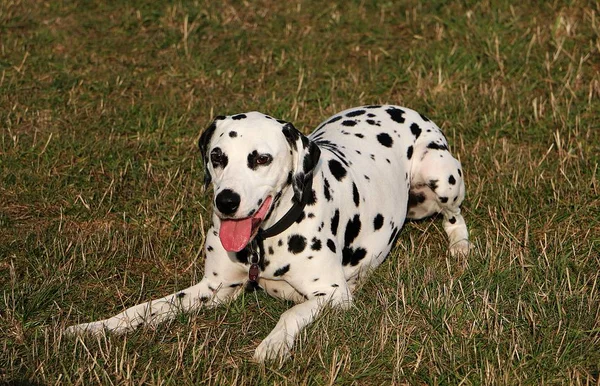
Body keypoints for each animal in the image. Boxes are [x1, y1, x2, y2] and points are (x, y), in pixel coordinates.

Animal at [64, 105, 468, 362]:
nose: (226, 201)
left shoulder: (333, 295)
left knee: (455, 216)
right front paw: (95, 327)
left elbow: (290, 314)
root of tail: (406, 109)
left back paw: (461, 248)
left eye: (261, 158)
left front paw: (272, 346)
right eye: (217, 156)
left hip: (441, 175)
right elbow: (145, 309)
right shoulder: (212, 289)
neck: (262, 241)